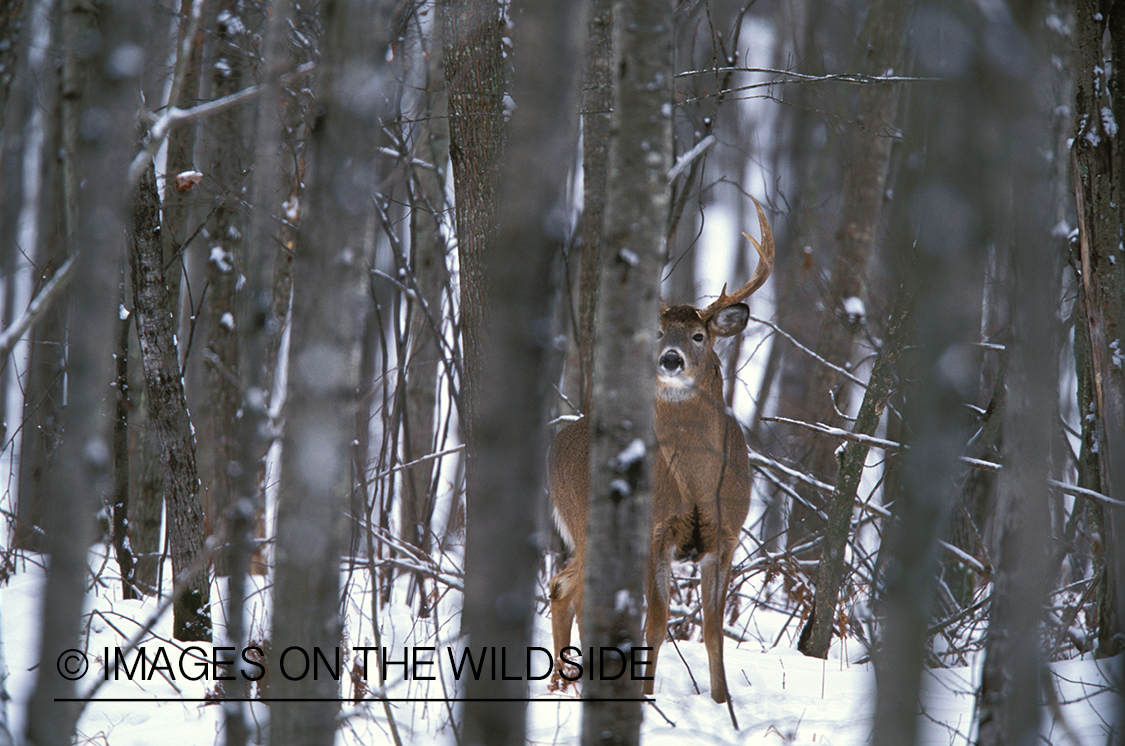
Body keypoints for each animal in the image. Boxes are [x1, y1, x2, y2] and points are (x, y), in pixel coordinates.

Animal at [544, 195, 774, 702]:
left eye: (699, 335)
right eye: (657, 334)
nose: (670, 360)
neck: (696, 483)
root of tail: (557, 441)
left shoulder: (728, 534)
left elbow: (712, 629)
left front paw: (721, 701)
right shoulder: (654, 529)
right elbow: (656, 621)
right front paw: (646, 696)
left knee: (561, 586)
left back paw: (559, 682)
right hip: (584, 519)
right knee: (573, 592)